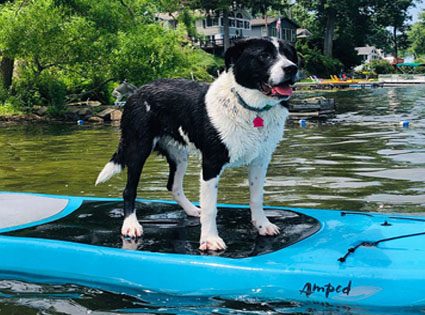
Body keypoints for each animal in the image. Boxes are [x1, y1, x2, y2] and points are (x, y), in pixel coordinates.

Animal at [95, 38, 296, 252]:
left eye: (289, 54)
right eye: (264, 56)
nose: (292, 68)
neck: (251, 107)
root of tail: (137, 91)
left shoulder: (260, 160)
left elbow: (256, 197)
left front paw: (263, 225)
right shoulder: (211, 164)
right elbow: (210, 208)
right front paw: (210, 239)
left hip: (179, 155)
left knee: (173, 185)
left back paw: (191, 209)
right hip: (137, 149)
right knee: (129, 190)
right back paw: (131, 225)